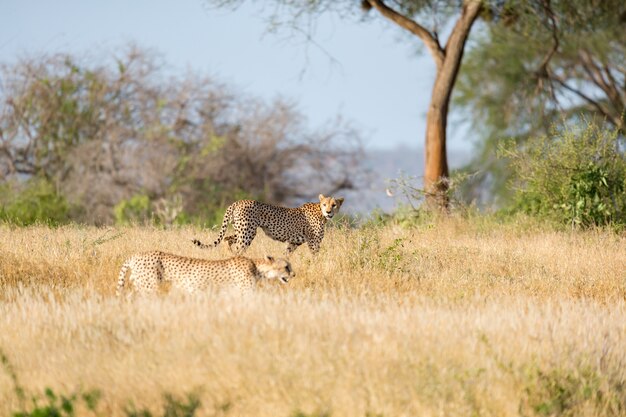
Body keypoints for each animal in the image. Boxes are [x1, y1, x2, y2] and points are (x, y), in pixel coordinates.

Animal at [193, 193, 344, 255]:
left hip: (241, 230)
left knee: (226, 239)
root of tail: (238, 201)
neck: (321, 214)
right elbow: (316, 256)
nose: (329, 212)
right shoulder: (313, 242)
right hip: (247, 232)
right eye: (324, 204)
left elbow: (286, 255)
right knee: (238, 248)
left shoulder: (293, 243)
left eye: (334, 205)